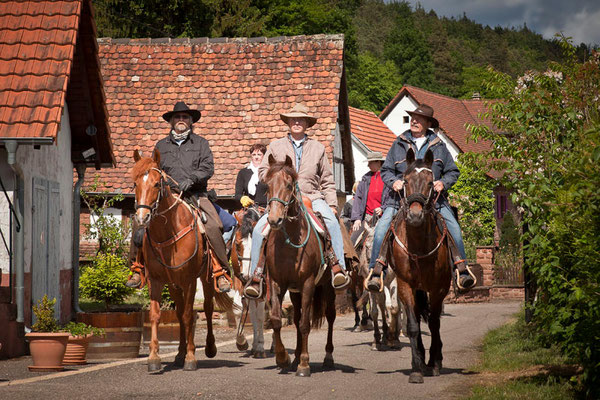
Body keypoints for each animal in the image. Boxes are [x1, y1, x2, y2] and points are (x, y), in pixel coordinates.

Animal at [131, 149, 232, 372]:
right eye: (135, 183)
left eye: (156, 184)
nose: (142, 218)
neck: (168, 233)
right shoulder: (157, 281)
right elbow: (156, 315)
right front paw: (154, 357)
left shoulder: (189, 280)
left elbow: (189, 316)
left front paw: (191, 358)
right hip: (173, 284)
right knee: (178, 314)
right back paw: (179, 353)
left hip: (205, 279)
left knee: (207, 309)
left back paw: (209, 348)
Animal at [262, 155, 338, 376]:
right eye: (266, 185)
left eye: (288, 185)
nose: (274, 219)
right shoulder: (277, 283)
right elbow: (277, 320)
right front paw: (283, 358)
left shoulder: (308, 284)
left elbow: (305, 324)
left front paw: (304, 364)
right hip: (294, 291)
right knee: (295, 318)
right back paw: (295, 357)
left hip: (327, 287)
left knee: (330, 316)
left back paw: (327, 357)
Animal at [386, 148, 452, 382]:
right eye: (405, 180)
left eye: (431, 182)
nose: (415, 215)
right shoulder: (405, 285)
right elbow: (413, 326)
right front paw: (416, 368)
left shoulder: (439, 288)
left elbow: (434, 323)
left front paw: (435, 362)